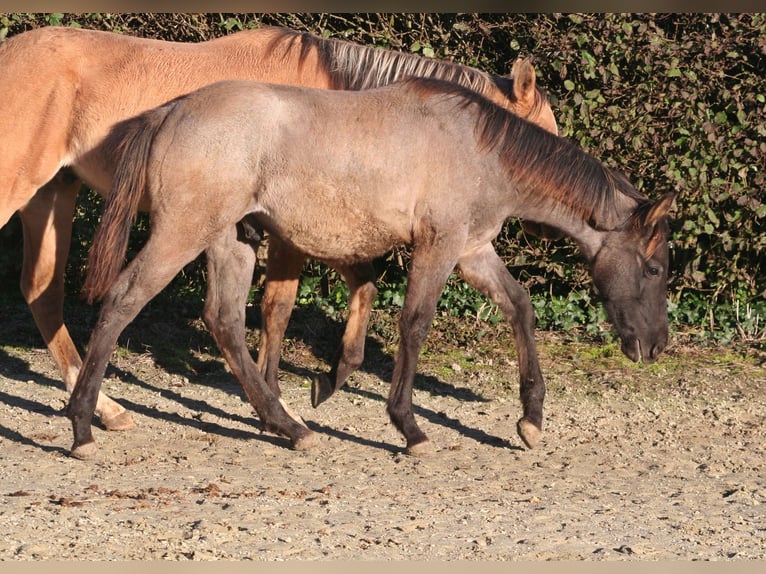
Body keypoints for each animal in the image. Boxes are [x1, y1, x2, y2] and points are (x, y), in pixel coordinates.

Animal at [0, 27, 556, 432]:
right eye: (537, 138)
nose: (549, 230)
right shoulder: (295, 231)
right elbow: (279, 307)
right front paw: (278, 402)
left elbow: (359, 287)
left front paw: (323, 381)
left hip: (54, 195)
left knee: (42, 292)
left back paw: (106, 409)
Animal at [69, 79, 676, 462]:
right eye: (652, 267)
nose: (655, 346)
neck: (480, 152)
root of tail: (171, 111)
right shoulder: (438, 248)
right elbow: (415, 324)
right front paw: (409, 428)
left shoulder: (473, 250)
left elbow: (520, 306)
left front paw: (530, 420)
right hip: (183, 233)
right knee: (123, 300)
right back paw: (81, 425)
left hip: (230, 241)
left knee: (224, 323)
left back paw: (288, 426)